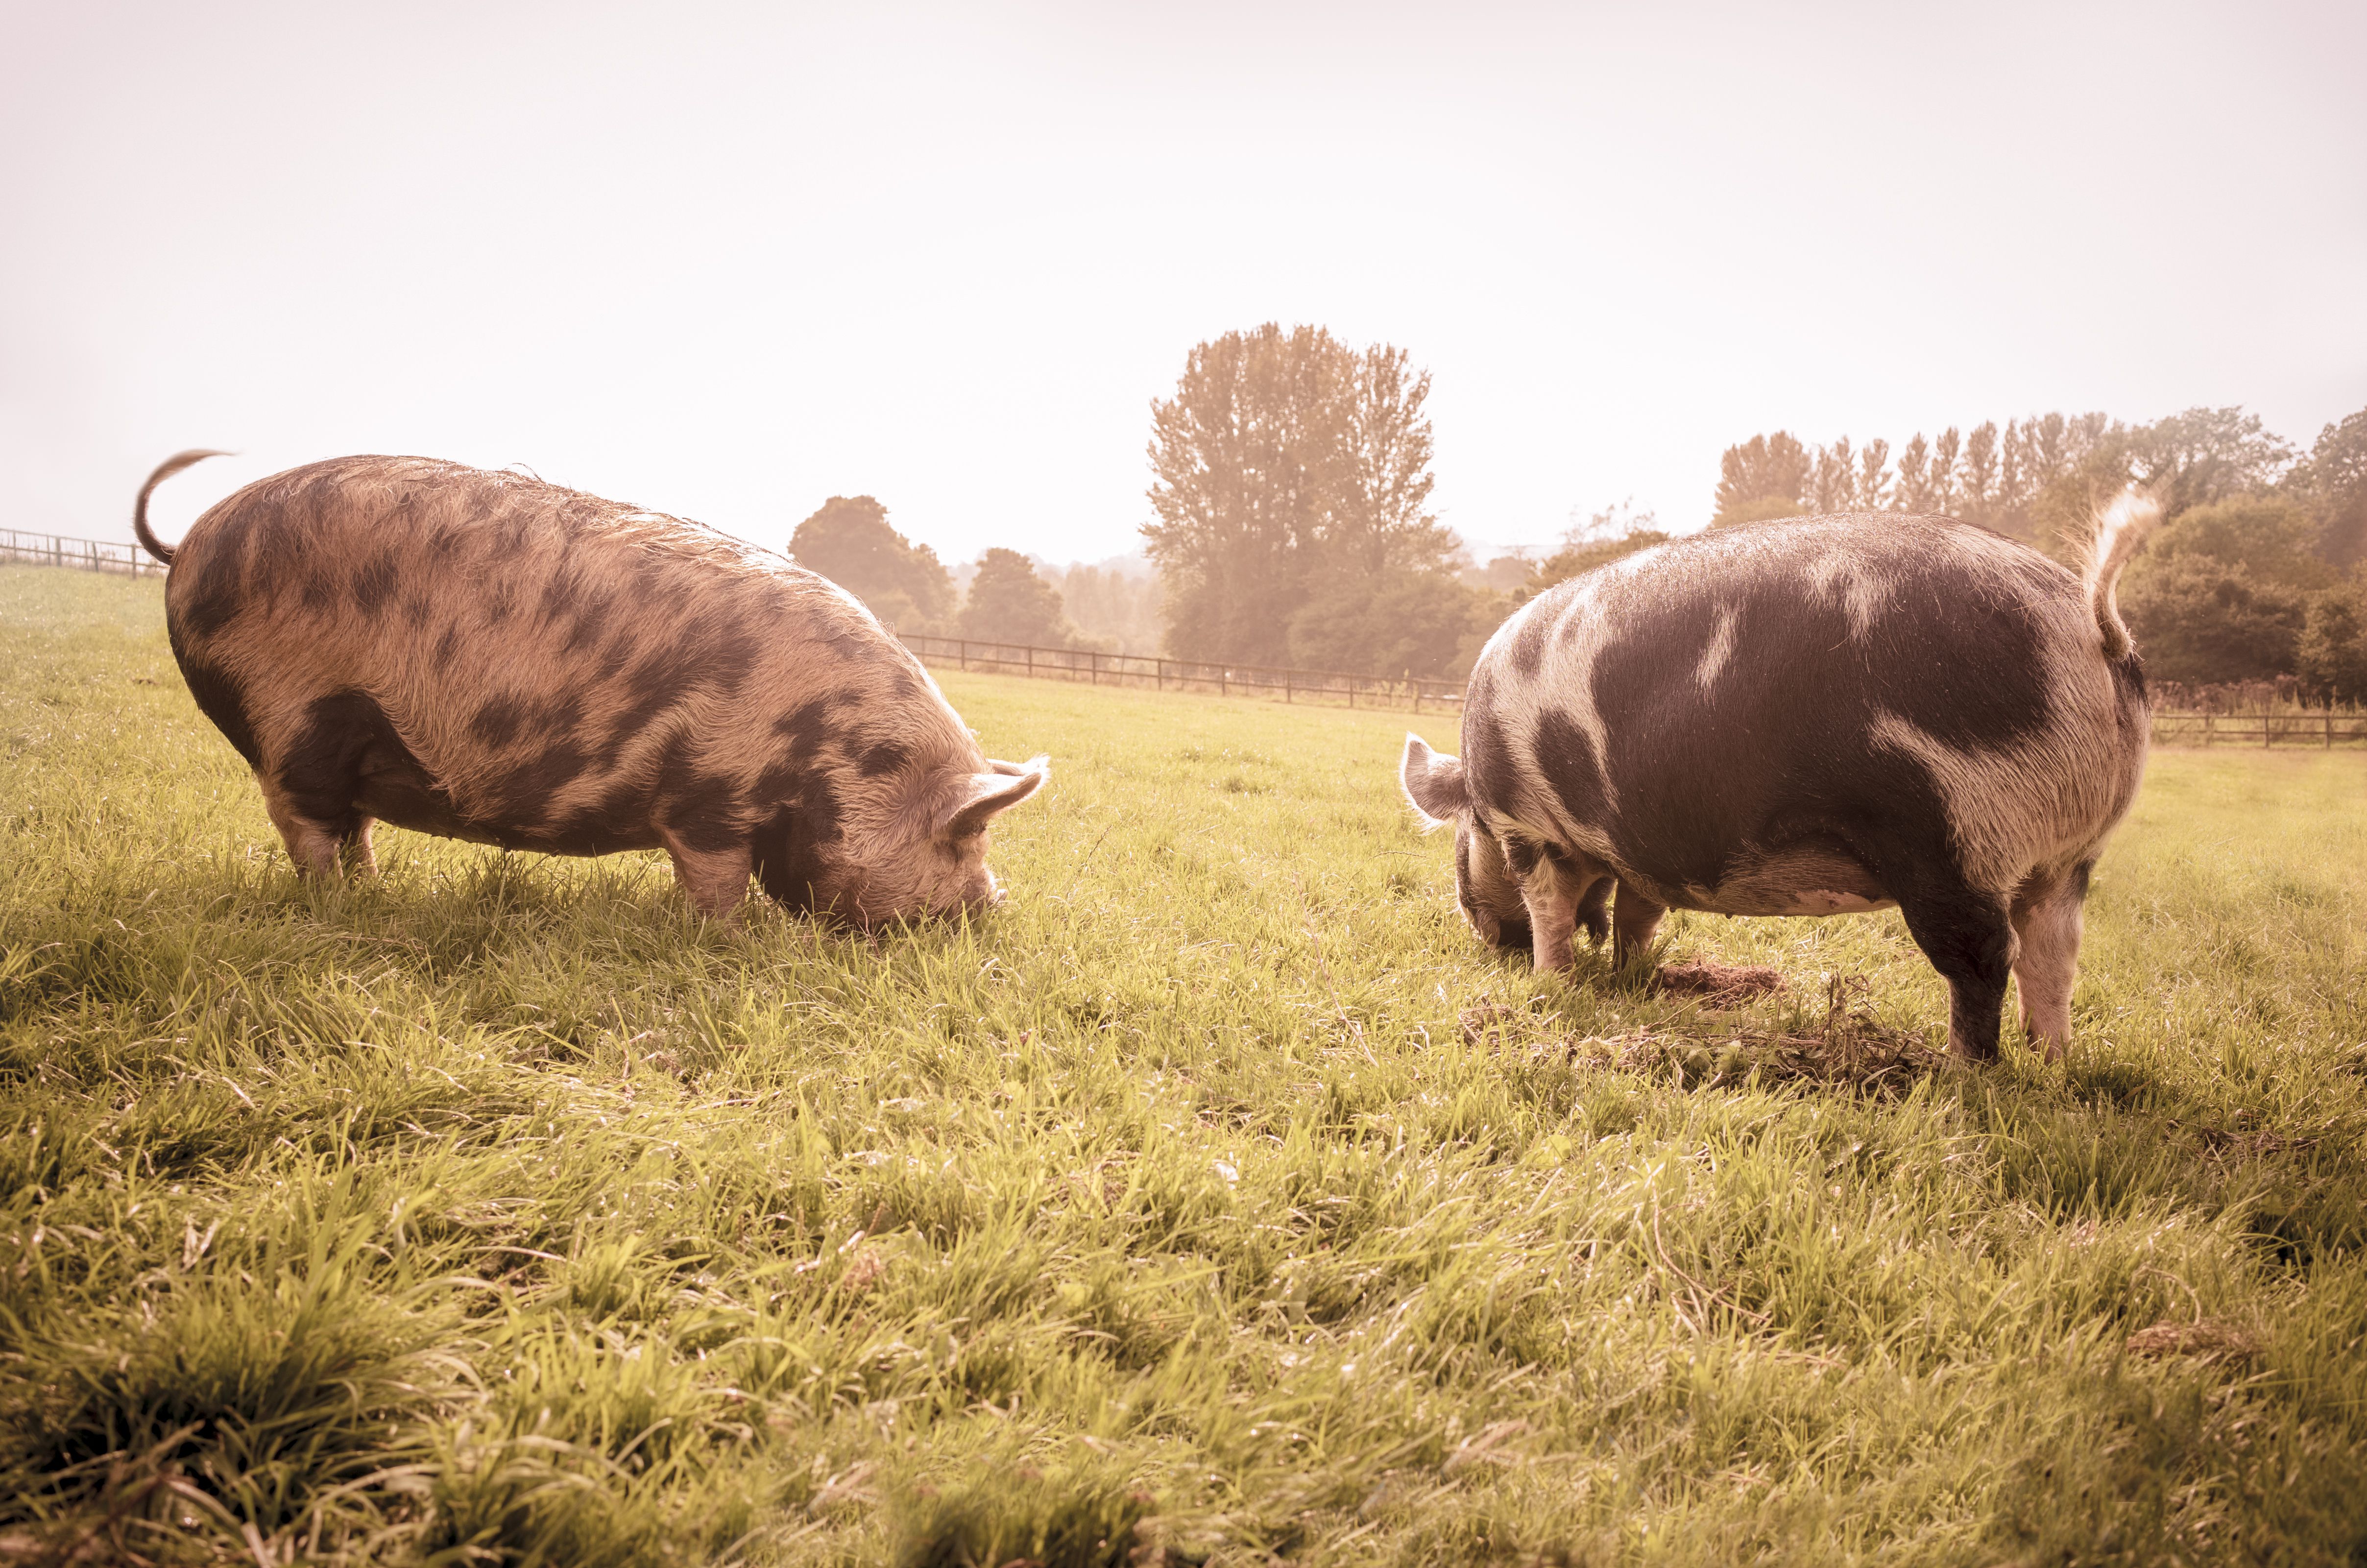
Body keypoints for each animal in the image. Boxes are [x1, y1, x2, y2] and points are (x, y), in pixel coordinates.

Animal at [132, 447, 1046, 928]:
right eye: (966, 834)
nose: (995, 907)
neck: (833, 751)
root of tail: (188, 544)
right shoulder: (708, 795)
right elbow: (714, 878)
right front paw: (730, 936)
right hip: (291, 710)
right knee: (305, 823)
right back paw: (345, 905)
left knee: (346, 826)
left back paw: (373, 892)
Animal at [1401, 495, 2168, 1070]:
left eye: (1461, 839)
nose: (1489, 939)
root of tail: (2091, 625)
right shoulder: (1644, 850)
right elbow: (1638, 914)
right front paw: (1631, 976)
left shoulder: (1526, 825)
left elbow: (1551, 909)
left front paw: (1551, 982)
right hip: (2069, 856)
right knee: (2054, 952)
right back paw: (2051, 1063)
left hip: (1952, 829)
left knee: (1982, 955)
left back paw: (1959, 1074)